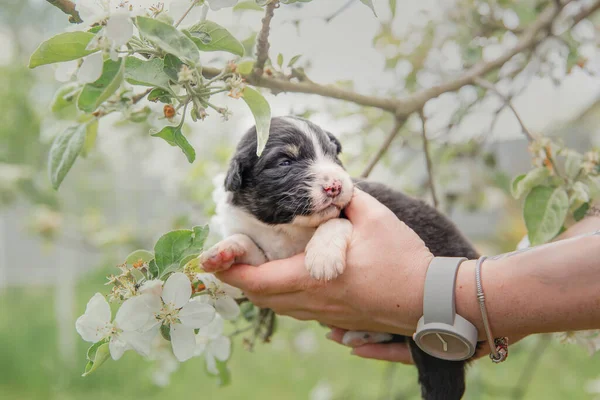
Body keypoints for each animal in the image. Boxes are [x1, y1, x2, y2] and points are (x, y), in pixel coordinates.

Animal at [204, 115, 480, 400]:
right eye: (285, 162)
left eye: (332, 155)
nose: (335, 186)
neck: (288, 229)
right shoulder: (268, 255)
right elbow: (248, 244)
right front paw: (223, 253)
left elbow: (334, 222)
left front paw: (322, 258)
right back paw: (363, 335)